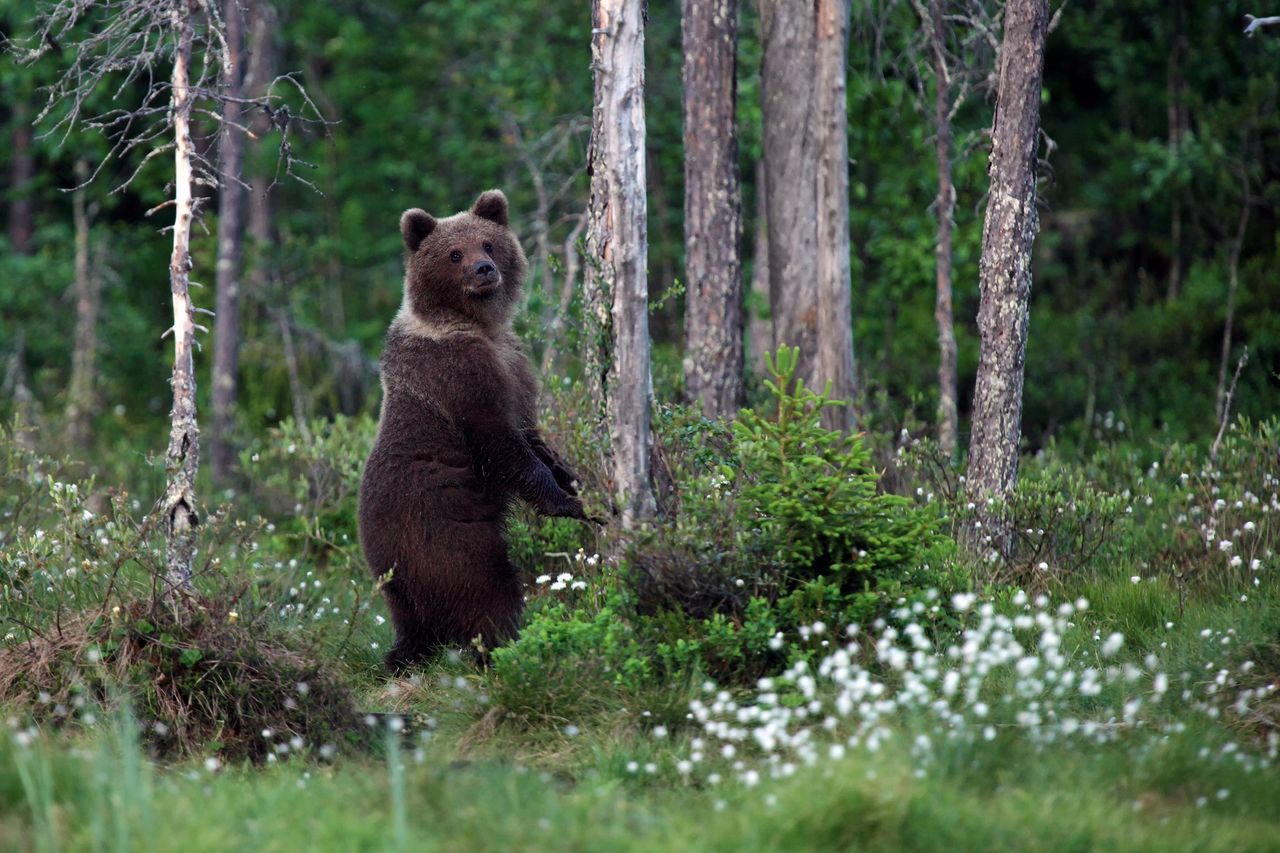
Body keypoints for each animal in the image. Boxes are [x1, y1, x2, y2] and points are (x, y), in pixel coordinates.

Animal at [355, 189, 586, 666]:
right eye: (454, 253)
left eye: (489, 243)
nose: (484, 270)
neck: (477, 325)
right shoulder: (458, 377)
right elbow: (501, 443)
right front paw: (562, 502)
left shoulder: (514, 366)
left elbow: (531, 434)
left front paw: (573, 481)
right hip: (442, 539)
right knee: (489, 590)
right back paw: (505, 648)